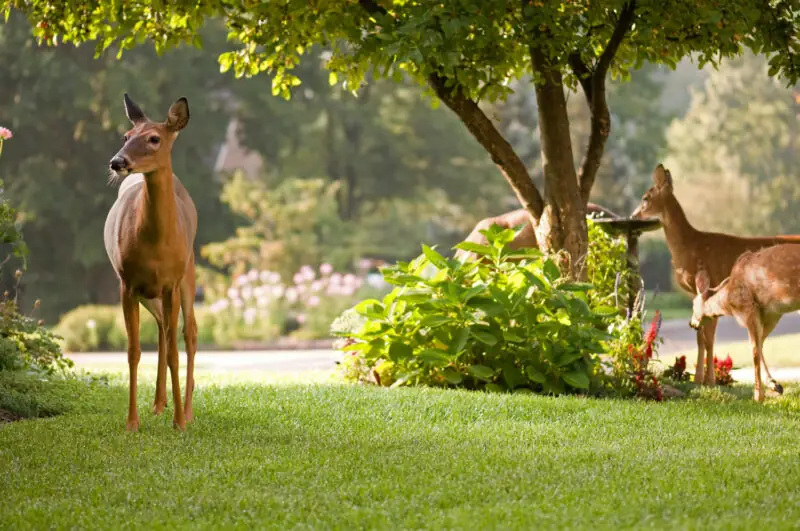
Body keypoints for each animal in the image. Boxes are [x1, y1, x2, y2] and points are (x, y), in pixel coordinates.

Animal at [104, 93, 198, 432]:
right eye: (126, 136)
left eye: (154, 138)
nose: (117, 162)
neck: (156, 244)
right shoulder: (126, 283)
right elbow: (133, 352)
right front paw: (132, 422)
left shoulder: (172, 281)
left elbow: (174, 353)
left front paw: (179, 422)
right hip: (149, 292)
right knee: (160, 329)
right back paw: (159, 403)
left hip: (188, 273)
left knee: (189, 333)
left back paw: (187, 409)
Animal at [689, 246, 800, 401]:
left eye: (693, 304)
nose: (692, 323)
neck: (728, 301)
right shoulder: (772, 313)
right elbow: (760, 344)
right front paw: (774, 385)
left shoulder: (748, 308)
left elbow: (754, 351)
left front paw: (758, 396)